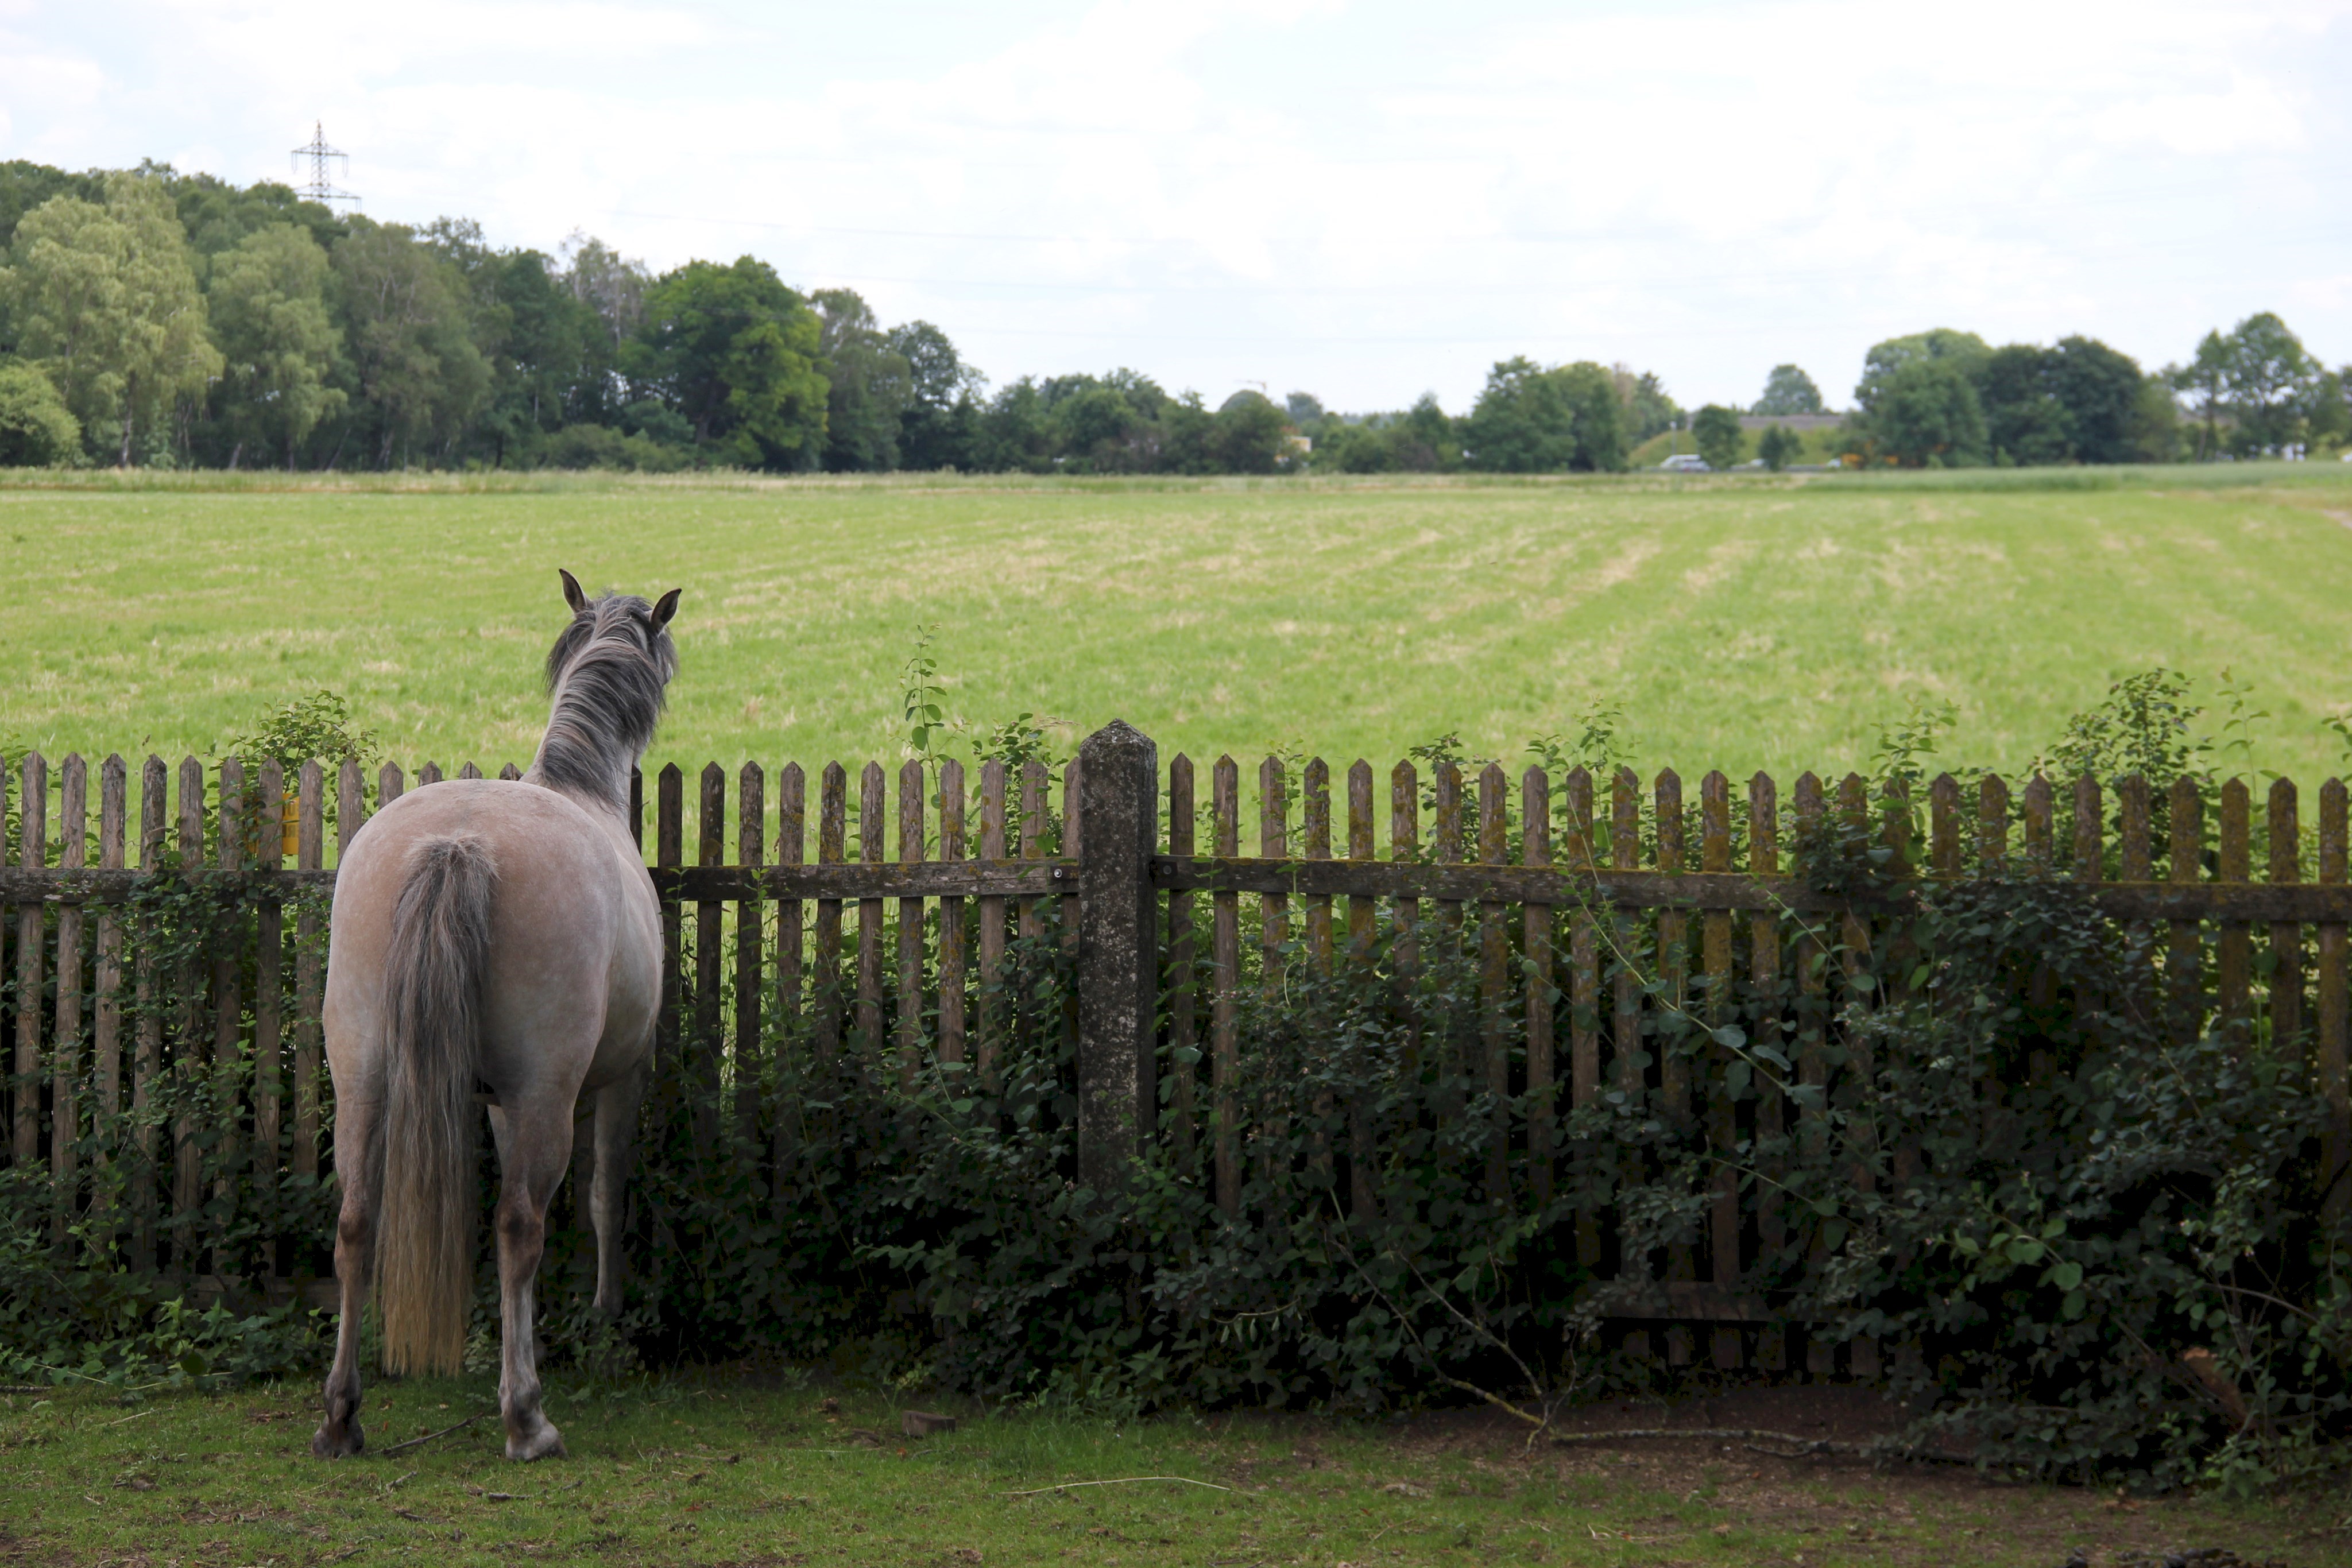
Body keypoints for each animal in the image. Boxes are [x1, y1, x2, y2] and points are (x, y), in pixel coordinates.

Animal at [312, 574, 682, 1457]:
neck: (583, 784)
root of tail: (456, 845)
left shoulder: (495, 1101)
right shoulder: (616, 1078)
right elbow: (604, 1192)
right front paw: (603, 1316)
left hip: (364, 1080)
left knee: (357, 1220)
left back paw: (342, 1414)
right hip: (548, 1089)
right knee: (520, 1221)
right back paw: (527, 1416)